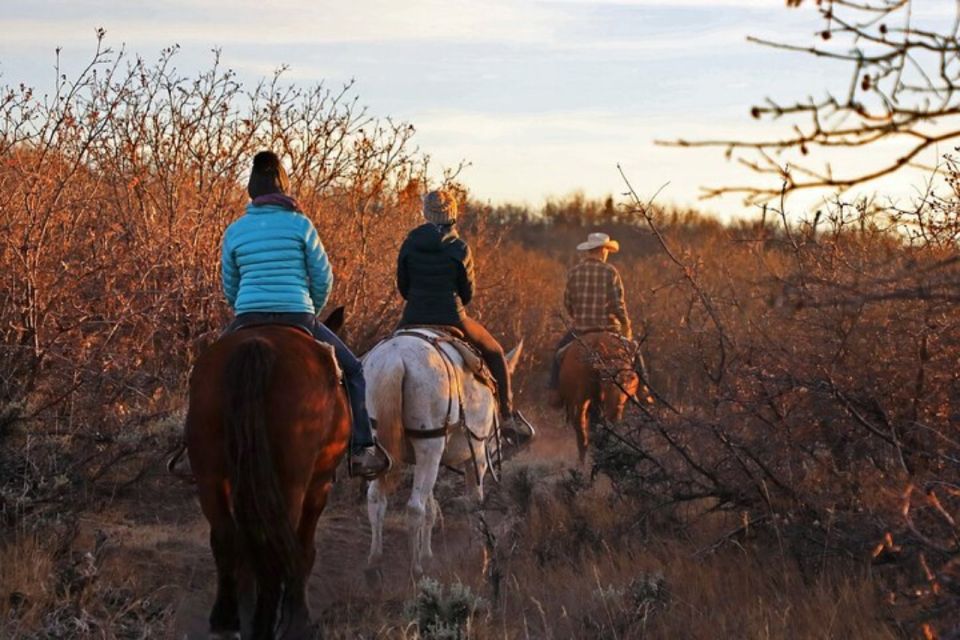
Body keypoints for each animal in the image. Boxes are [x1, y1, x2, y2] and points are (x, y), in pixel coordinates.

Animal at [184, 310, 348, 640]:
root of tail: (256, 345)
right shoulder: (319, 484)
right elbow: (304, 548)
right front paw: (298, 618)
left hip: (210, 475)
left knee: (227, 537)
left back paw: (227, 619)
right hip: (291, 482)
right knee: (277, 545)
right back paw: (269, 622)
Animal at [362, 328, 524, 576]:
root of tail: (394, 359)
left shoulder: (425, 459)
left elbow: (431, 505)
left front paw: (427, 553)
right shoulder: (476, 457)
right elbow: (474, 502)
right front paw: (481, 556)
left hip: (383, 450)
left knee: (376, 499)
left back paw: (375, 563)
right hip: (430, 448)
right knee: (414, 507)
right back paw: (415, 568)